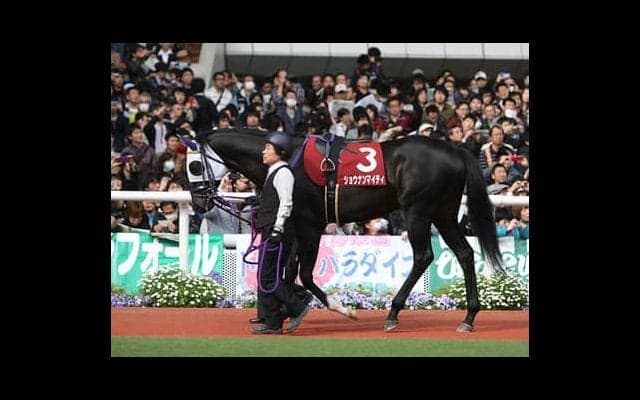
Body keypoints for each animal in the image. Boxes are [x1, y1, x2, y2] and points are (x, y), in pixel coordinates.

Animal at [195, 129, 504, 332]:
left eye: (195, 165)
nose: (199, 201)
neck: (289, 162)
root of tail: (456, 151)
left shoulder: (310, 224)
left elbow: (304, 274)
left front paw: (335, 308)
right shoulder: (296, 224)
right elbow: (290, 270)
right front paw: (284, 310)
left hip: (418, 210)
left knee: (423, 256)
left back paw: (394, 312)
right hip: (444, 213)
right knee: (464, 253)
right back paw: (469, 317)